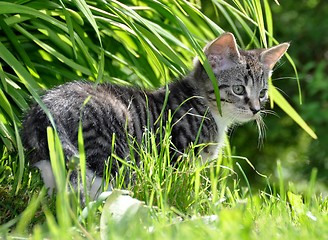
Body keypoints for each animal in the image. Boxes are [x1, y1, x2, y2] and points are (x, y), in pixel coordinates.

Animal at [21, 32, 288, 200]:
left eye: (262, 93)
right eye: (239, 89)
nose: (256, 109)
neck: (205, 106)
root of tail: (45, 108)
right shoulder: (177, 154)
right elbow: (179, 185)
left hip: (50, 160)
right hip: (112, 144)